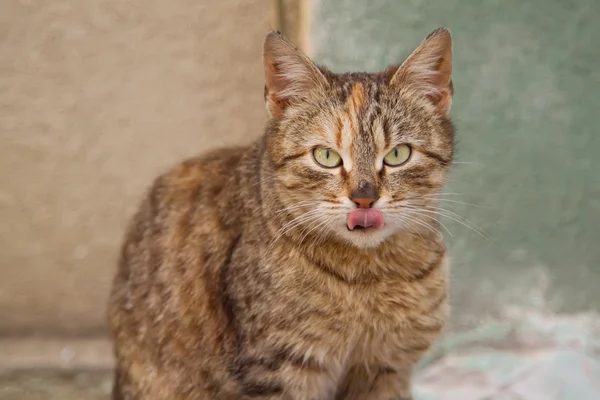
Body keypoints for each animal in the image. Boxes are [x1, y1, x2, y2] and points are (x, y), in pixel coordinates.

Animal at [108, 26, 454, 398]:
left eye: (398, 154)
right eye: (326, 156)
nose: (364, 199)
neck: (370, 276)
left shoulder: (387, 367)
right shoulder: (279, 367)